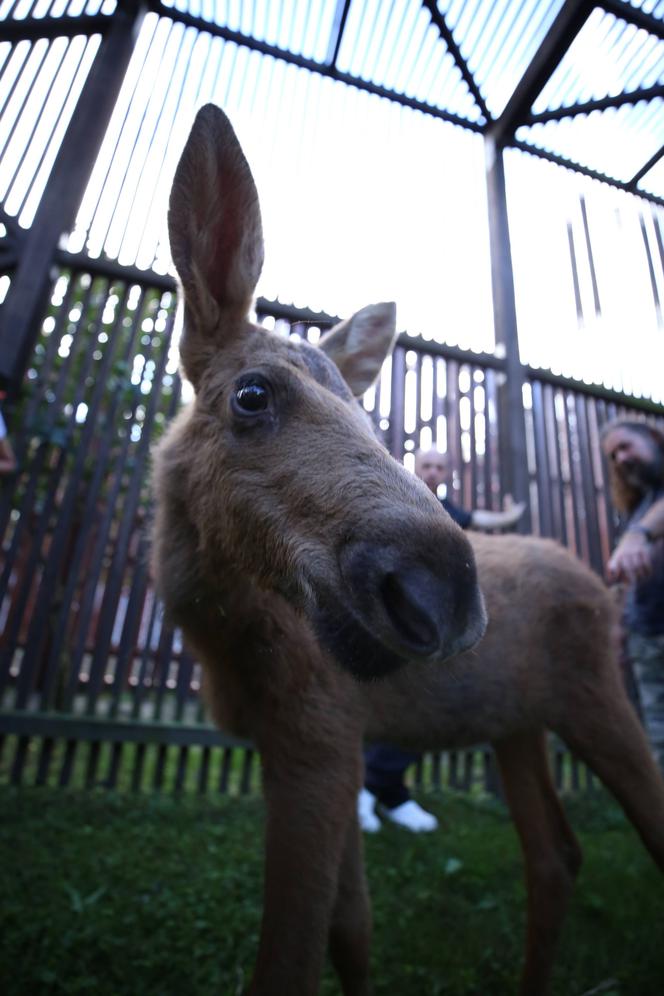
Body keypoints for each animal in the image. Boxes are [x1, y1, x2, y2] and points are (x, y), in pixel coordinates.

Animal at [152, 105, 664, 992]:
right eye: (251, 394)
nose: (444, 593)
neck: (219, 635)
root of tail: (600, 583)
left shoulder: (318, 738)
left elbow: (293, 958)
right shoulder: (320, 743)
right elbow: (351, 928)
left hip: (601, 700)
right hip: (517, 725)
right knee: (555, 856)